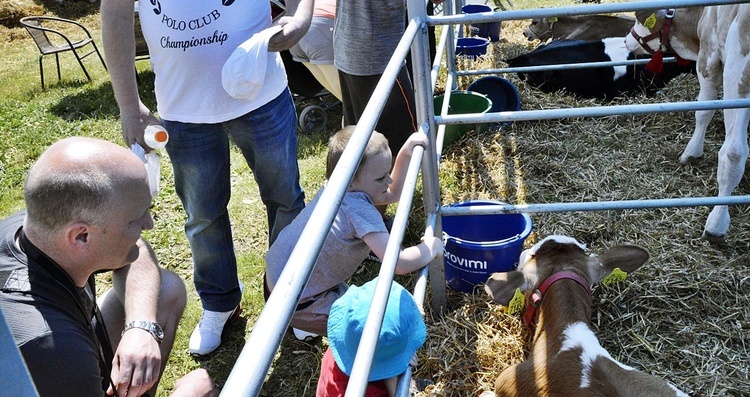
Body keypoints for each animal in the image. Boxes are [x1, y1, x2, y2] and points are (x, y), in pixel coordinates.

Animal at [628, 6, 750, 243]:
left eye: (640, 21)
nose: (627, 40)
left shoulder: (708, 59)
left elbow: (703, 110)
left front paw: (691, 153)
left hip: (738, 75)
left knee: (733, 152)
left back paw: (716, 225)